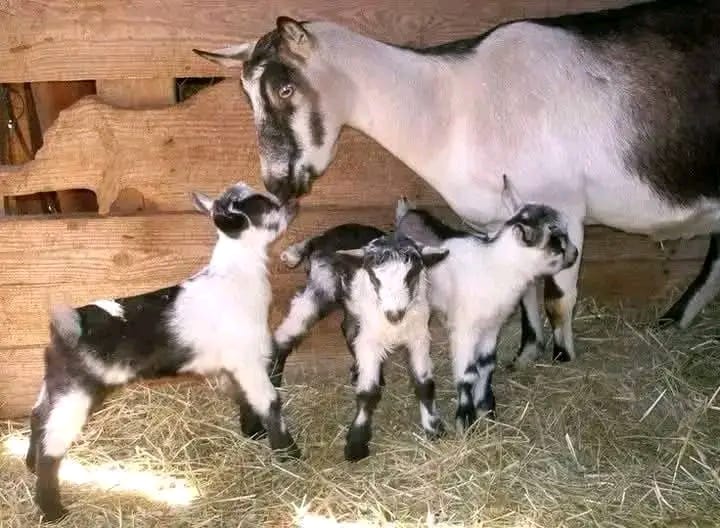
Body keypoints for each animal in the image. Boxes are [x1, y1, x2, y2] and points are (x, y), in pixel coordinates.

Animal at [25, 182, 300, 522]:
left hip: (56, 383)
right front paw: (289, 453)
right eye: (262, 204)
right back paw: (52, 509)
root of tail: (69, 324)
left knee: (38, 416)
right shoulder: (248, 360)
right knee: (52, 445)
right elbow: (270, 402)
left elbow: (244, 398)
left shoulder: (233, 366)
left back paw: (29, 465)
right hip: (75, 394)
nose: (293, 203)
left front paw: (253, 433)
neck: (236, 276)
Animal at [195, 1, 720, 371]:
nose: (278, 182)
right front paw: (525, 355)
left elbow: (557, 298)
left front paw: (563, 359)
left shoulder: (565, 208)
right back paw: (674, 320)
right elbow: (525, 291)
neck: (454, 106)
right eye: (246, 95)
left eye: (286, 89)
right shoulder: (499, 219)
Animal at [271, 226, 448, 461]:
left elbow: (424, 385)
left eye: (411, 275)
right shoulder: (371, 341)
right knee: (285, 337)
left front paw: (434, 428)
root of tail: (322, 236)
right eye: (374, 277)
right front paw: (356, 443)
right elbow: (368, 392)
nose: (394, 314)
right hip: (319, 288)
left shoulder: (418, 337)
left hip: (352, 307)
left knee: (348, 329)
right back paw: (272, 382)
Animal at [396, 196, 578, 431]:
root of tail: (407, 213)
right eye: (556, 241)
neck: (496, 267)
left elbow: (486, 365)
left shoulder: (492, 326)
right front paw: (465, 420)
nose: (576, 254)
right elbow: (467, 373)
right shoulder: (465, 329)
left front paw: (486, 410)